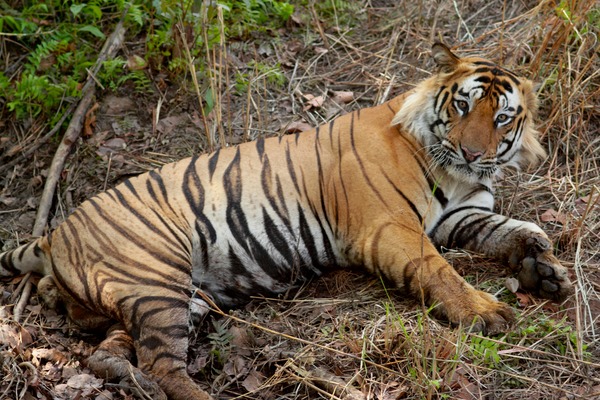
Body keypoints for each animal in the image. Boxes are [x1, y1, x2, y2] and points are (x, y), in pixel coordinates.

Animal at [0, 42, 572, 398]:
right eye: (463, 106)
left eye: (502, 117)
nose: (475, 154)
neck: (453, 174)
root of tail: (53, 233)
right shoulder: (392, 228)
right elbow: (441, 271)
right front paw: (487, 312)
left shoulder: (463, 214)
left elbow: (508, 231)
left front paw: (543, 269)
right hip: (156, 277)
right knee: (164, 367)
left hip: (168, 297)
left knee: (115, 351)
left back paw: (122, 373)